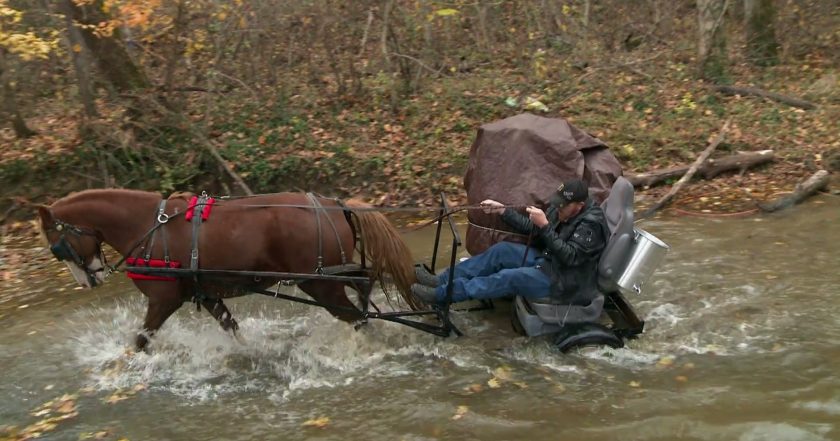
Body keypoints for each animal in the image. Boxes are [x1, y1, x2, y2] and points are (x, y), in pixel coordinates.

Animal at [37, 189, 420, 350]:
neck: (151, 227)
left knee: (356, 314)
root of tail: (332, 205)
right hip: (331, 277)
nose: (88, 280)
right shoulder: (206, 295)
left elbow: (141, 340)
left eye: (57, 247)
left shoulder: (163, 301)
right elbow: (231, 328)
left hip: (319, 284)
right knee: (364, 284)